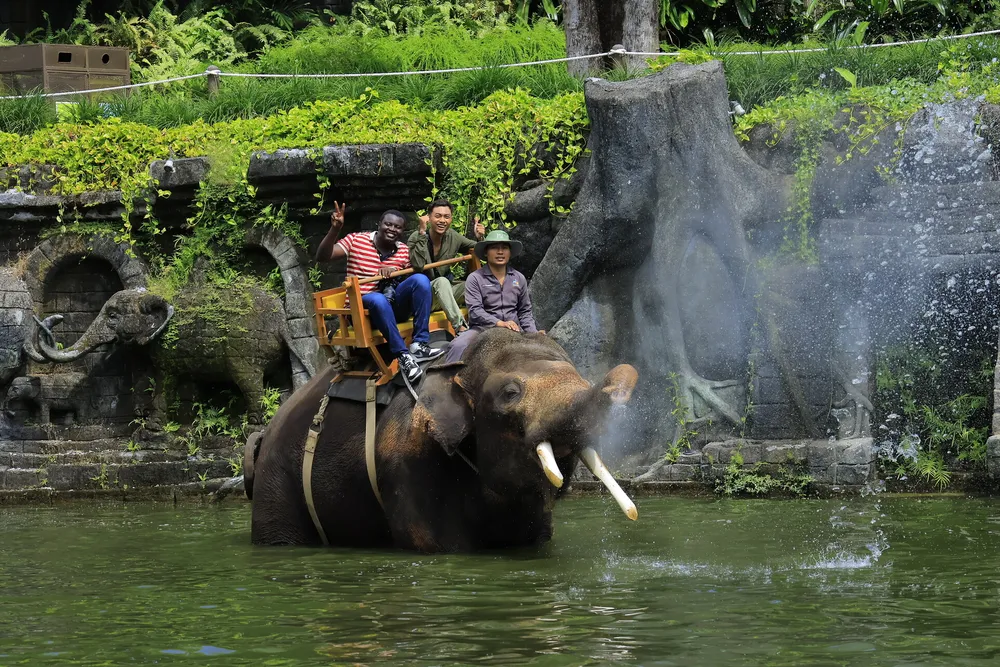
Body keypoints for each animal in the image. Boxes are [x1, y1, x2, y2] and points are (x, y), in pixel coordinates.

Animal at [34, 285, 317, 426]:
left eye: (112, 315)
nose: (57, 318)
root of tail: (281, 321)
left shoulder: (165, 350)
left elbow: (165, 381)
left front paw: (153, 427)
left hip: (245, 353)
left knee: (250, 382)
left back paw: (254, 424)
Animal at [245, 327, 639, 552]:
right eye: (510, 393)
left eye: (583, 381)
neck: (458, 366)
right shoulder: (406, 458)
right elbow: (438, 545)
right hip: (276, 482)